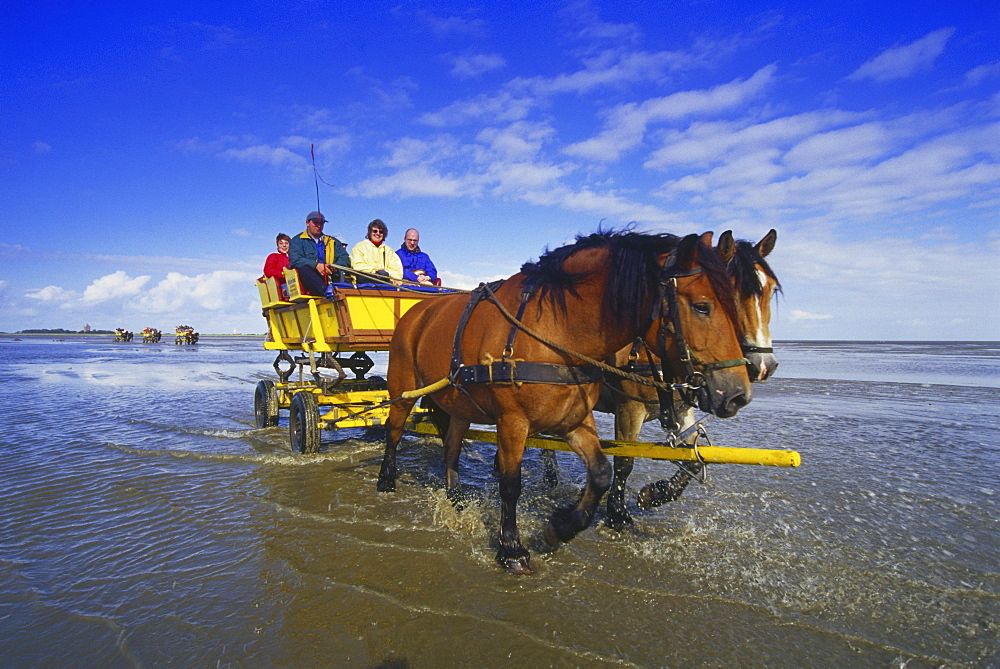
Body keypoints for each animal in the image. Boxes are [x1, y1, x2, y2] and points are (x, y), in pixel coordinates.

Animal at [376, 231, 752, 576]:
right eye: (702, 306)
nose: (737, 393)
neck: (556, 330)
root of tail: (417, 312)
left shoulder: (574, 420)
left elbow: (601, 473)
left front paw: (560, 528)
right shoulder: (513, 421)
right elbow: (510, 485)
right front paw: (511, 549)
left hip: (458, 403)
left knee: (452, 441)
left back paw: (454, 494)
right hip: (403, 388)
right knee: (394, 429)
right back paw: (386, 480)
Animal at [596, 230, 776, 528]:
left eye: (771, 291)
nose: (765, 366)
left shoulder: (681, 410)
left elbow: (693, 456)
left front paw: (654, 493)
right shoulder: (628, 409)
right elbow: (624, 462)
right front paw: (616, 514)